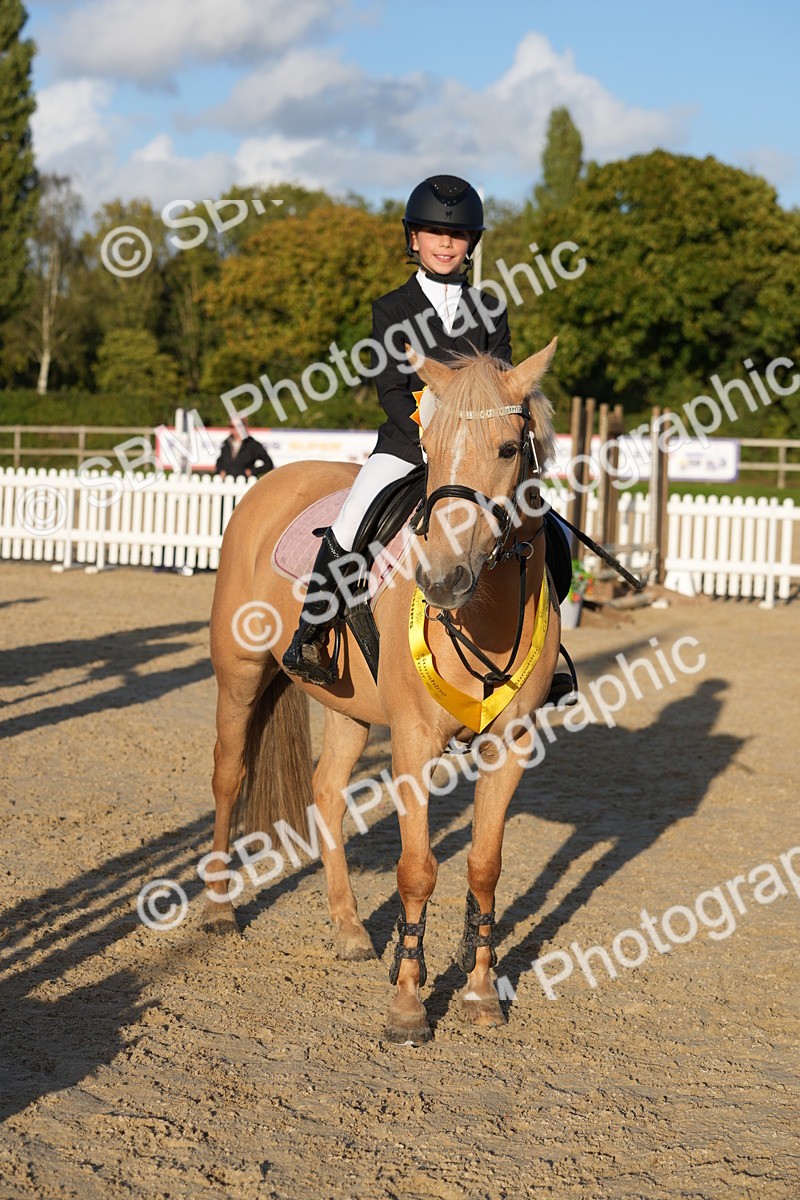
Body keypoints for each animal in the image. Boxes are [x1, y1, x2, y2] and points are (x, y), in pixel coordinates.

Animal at [207, 339, 562, 1044]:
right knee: (229, 775)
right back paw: (217, 911)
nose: (444, 579)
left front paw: (480, 993)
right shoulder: (414, 743)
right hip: (239, 675)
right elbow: (417, 869)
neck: (483, 610)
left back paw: (347, 929)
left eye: (509, 448)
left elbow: (484, 865)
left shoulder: (511, 745)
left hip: (348, 709)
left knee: (325, 793)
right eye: (429, 445)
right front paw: (407, 1003)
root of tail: (273, 481)